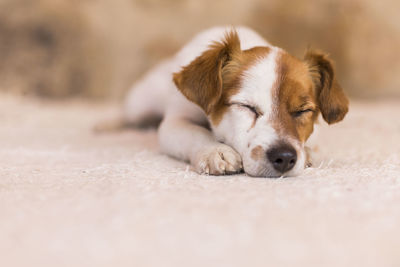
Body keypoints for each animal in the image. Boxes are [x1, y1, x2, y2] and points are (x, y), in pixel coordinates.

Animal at [97, 26, 350, 178]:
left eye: (302, 111)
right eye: (247, 107)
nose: (285, 158)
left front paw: (306, 151)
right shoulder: (176, 122)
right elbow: (194, 132)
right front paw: (215, 151)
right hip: (139, 103)